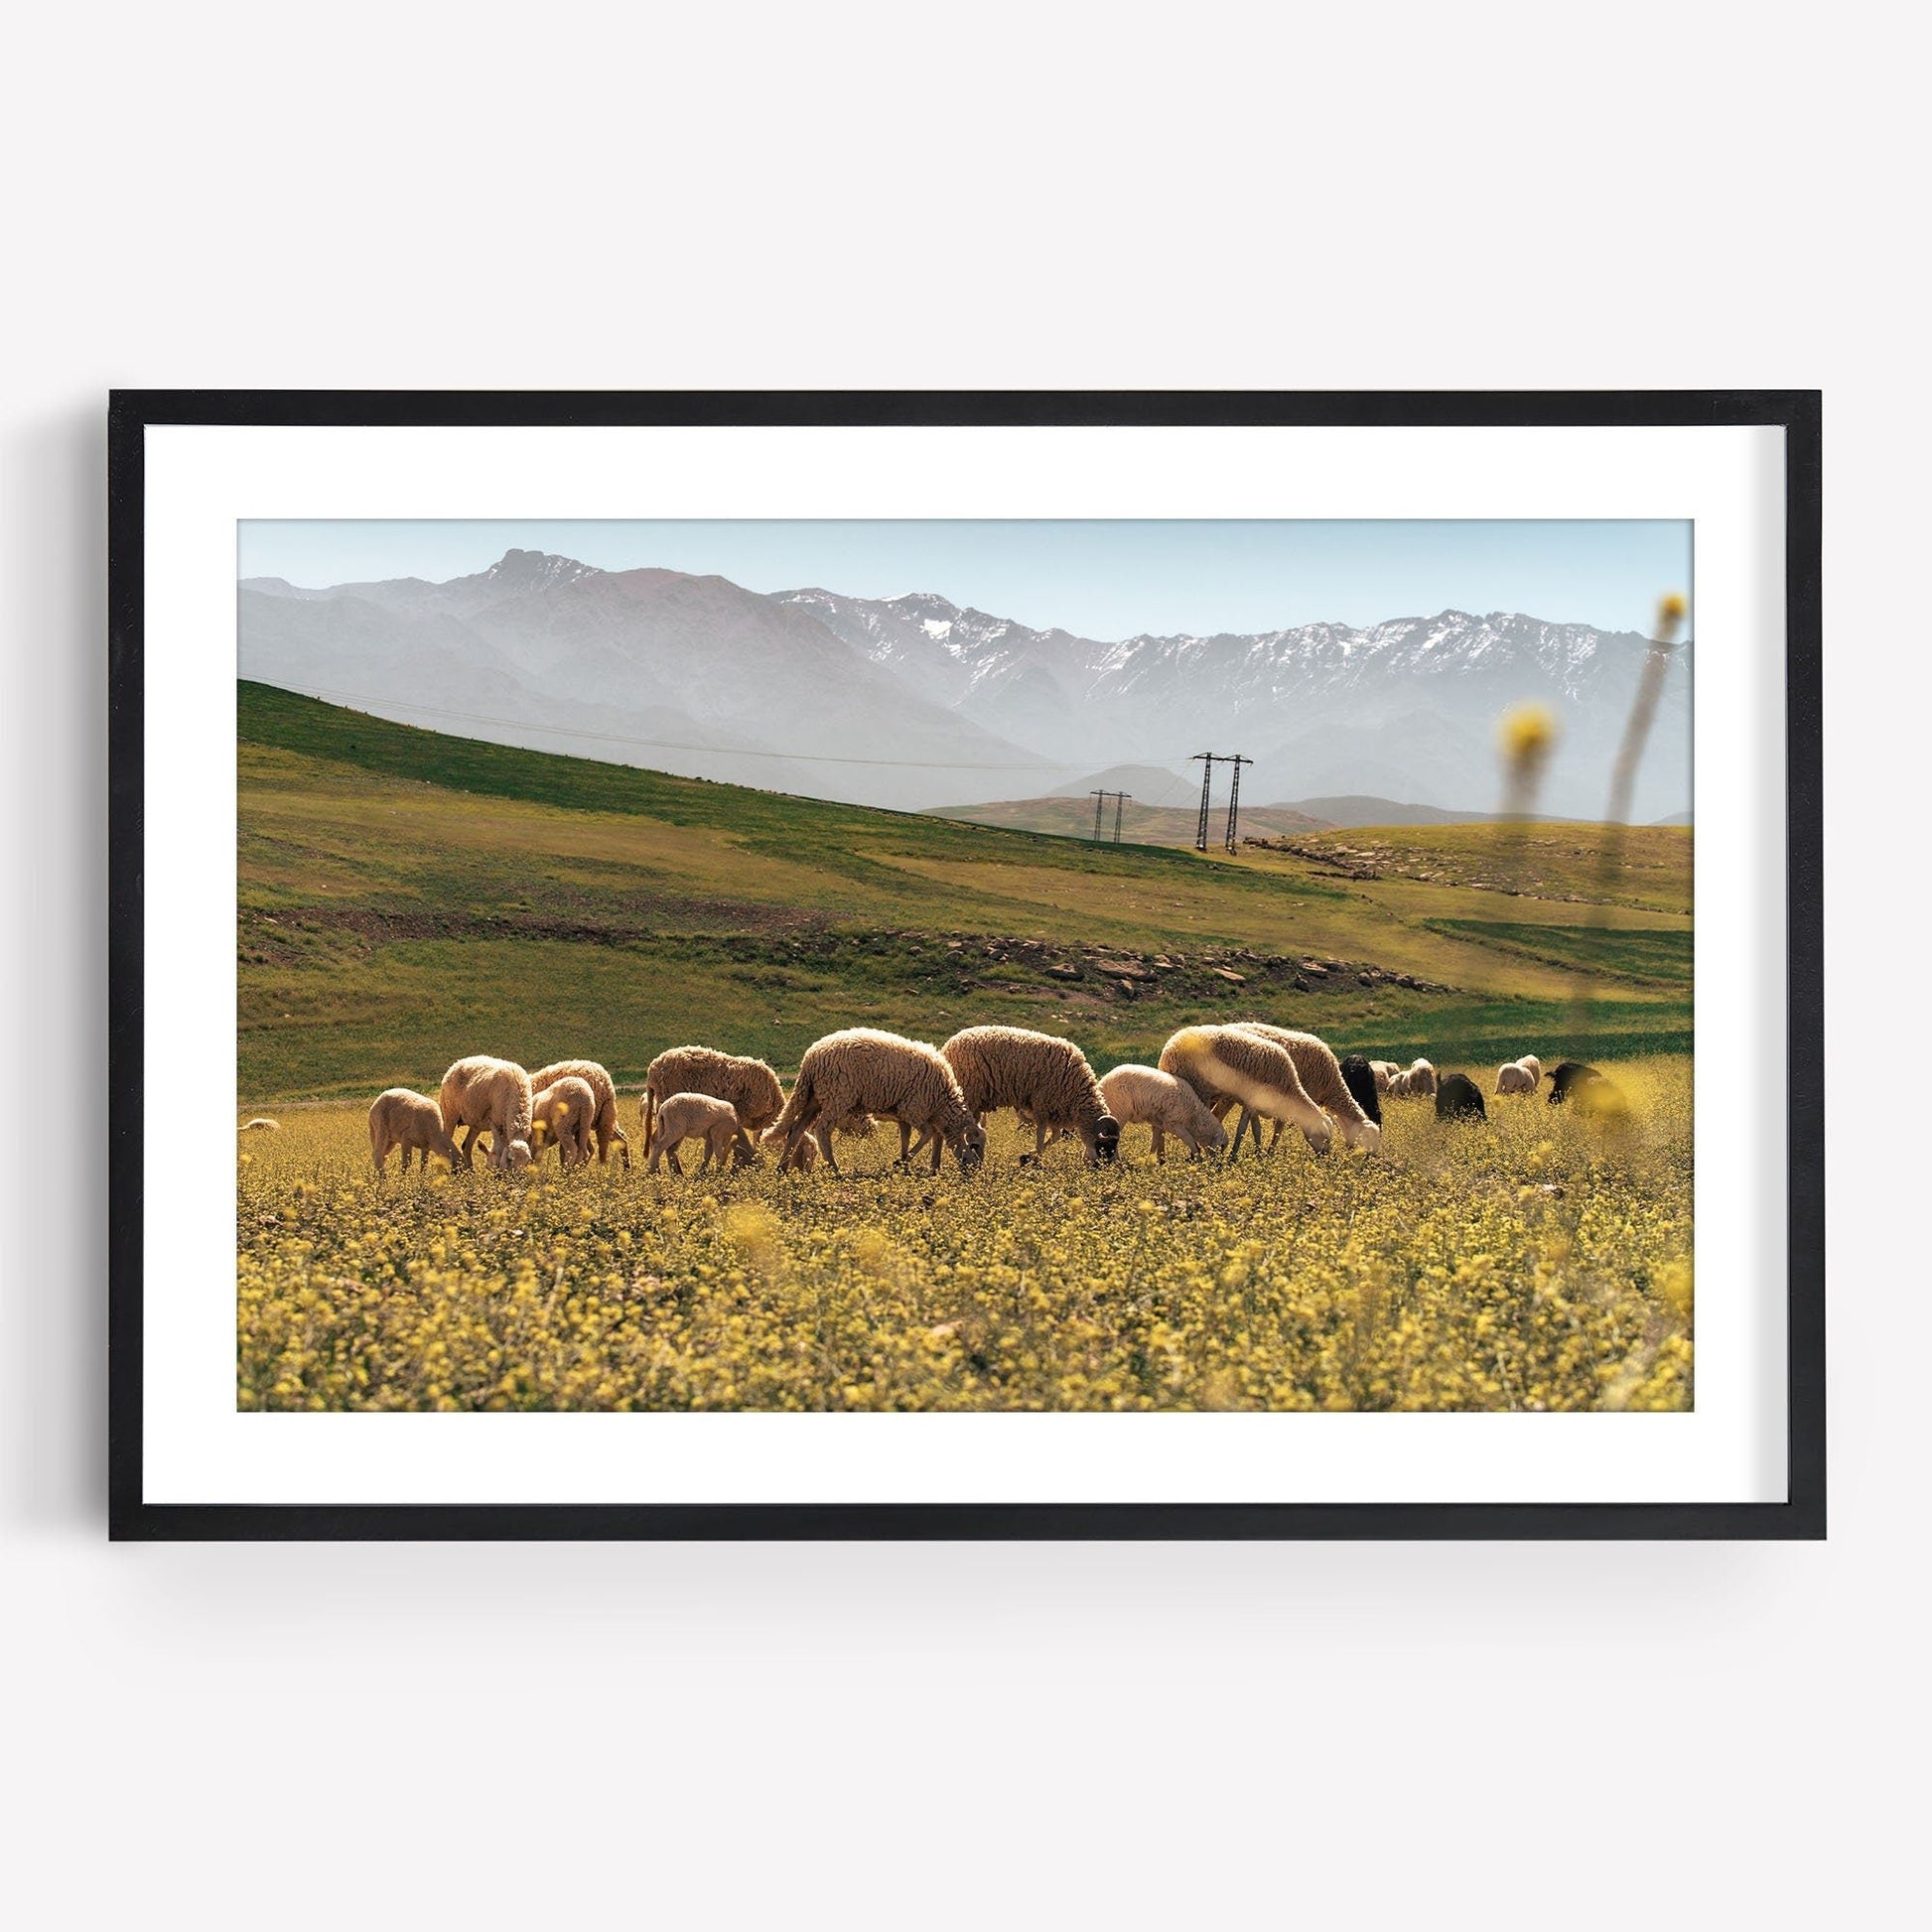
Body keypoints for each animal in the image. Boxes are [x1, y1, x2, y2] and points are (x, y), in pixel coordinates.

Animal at [764, 1028, 989, 1174]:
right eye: (975, 1145)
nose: (976, 1169)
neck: (941, 1103)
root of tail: (810, 1059)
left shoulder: (903, 1112)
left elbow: (906, 1136)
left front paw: (904, 1163)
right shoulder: (913, 1108)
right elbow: (928, 1133)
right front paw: (902, 1161)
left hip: (815, 1098)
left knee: (796, 1129)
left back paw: (782, 1168)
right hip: (837, 1096)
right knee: (822, 1130)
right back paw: (834, 1169)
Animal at [934, 1028, 1120, 1159]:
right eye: (1106, 1146)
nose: (1103, 1168)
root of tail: (948, 1046)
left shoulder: (1055, 1108)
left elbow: (1056, 1136)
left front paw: (1031, 1154)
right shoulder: (1043, 1104)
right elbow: (1041, 1133)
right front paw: (1035, 1156)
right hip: (968, 1094)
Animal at [1097, 1058, 1228, 1159]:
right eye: (1222, 1146)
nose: (1218, 1166)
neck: (1193, 1114)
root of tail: (1102, 1083)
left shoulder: (1159, 1122)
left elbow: (1155, 1141)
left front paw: (1150, 1162)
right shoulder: (1173, 1123)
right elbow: (1191, 1141)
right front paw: (1199, 1160)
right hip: (1118, 1112)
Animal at [1151, 1028, 1336, 1159]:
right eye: (1325, 1137)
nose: (1326, 1156)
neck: (1287, 1086)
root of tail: (1169, 1046)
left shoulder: (1252, 1102)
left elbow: (1253, 1129)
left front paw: (1257, 1153)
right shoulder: (1252, 1100)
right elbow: (1243, 1130)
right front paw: (1235, 1156)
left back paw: (1162, 1158)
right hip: (1197, 1089)